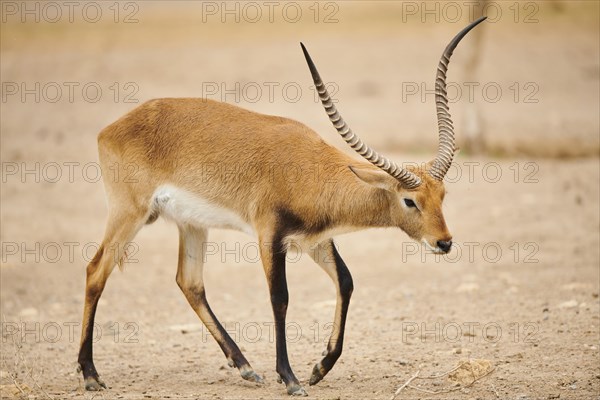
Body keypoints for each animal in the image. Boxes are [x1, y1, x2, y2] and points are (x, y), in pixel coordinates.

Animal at [77, 16, 486, 396]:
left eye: (442, 195)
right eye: (409, 200)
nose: (444, 242)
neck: (310, 170)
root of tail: (113, 127)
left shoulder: (314, 240)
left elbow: (346, 281)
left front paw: (319, 368)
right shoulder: (269, 237)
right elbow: (280, 298)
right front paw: (290, 379)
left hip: (191, 224)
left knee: (189, 282)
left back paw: (245, 368)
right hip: (130, 213)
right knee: (97, 270)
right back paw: (91, 374)